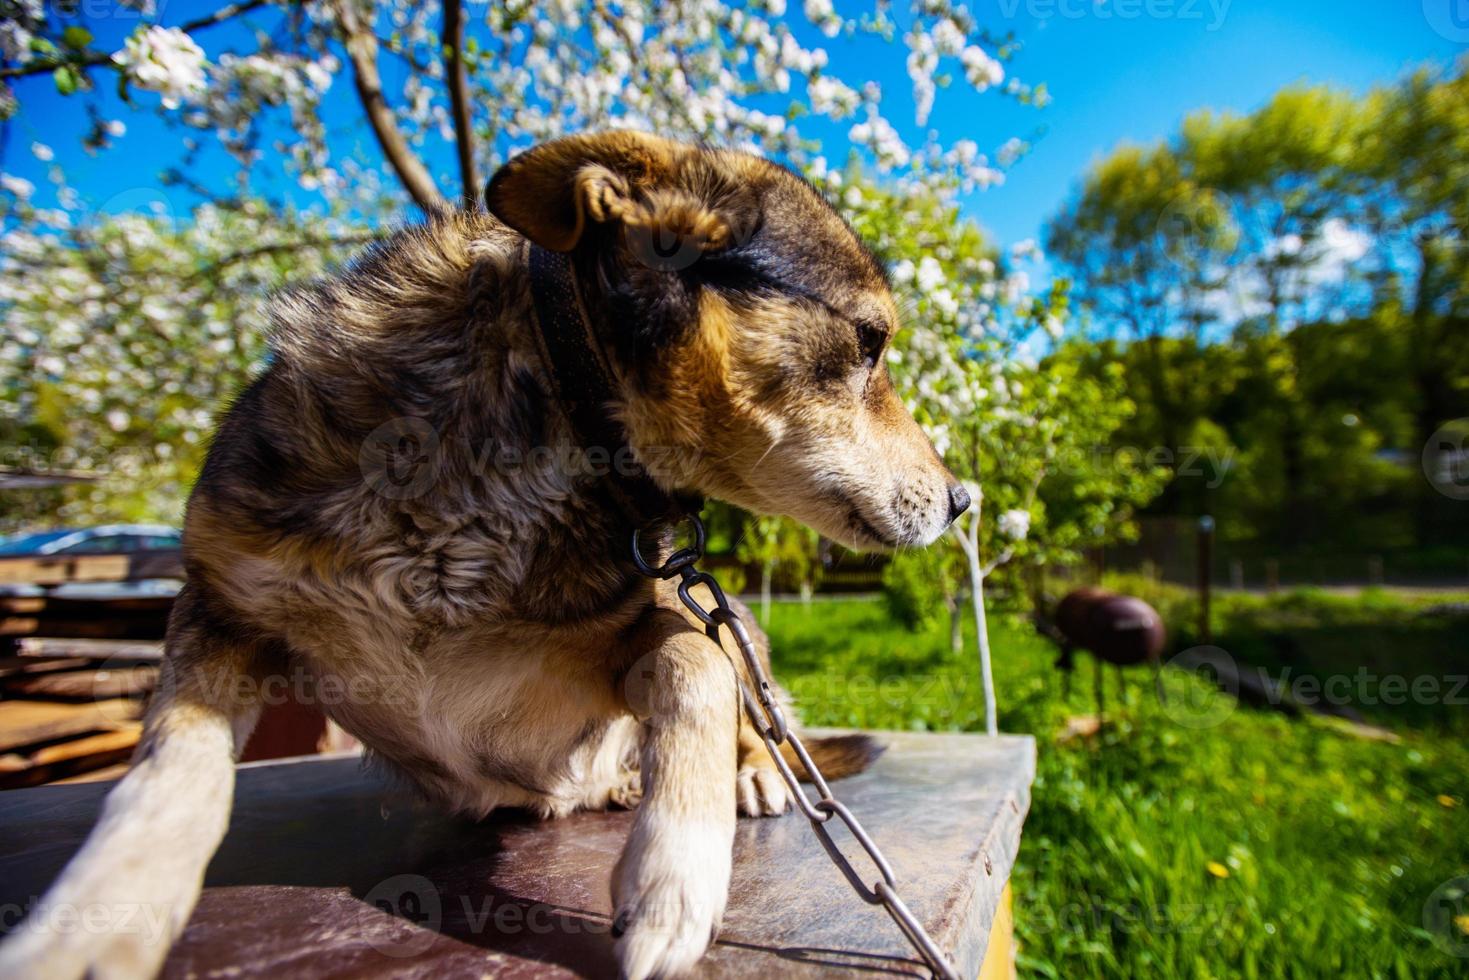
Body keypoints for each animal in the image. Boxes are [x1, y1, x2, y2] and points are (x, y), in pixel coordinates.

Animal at [2, 132, 975, 980]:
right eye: (871, 343)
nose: (963, 499)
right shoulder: (221, 605)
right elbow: (172, 773)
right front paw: (102, 912)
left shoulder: (652, 623)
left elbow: (696, 669)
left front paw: (673, 880)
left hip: (736, 621)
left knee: (757, 704)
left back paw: (750, 777)